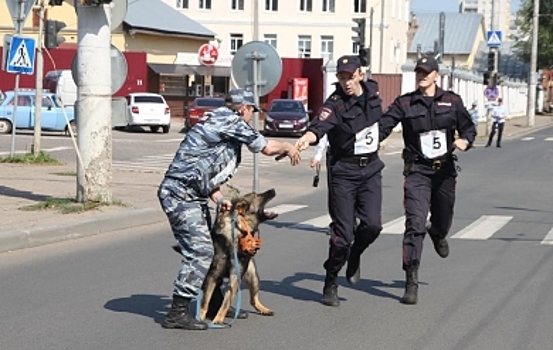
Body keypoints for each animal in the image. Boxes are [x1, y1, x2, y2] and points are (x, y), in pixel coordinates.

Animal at [172, 189, 276, 326]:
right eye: (256, 195)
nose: (273, 190)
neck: (237, 231)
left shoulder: (235, 277)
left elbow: (225, 302)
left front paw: (218, 319)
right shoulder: (212, 275)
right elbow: (205, 303)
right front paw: (200, 317)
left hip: (253, 277)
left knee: (253, 299)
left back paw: (263, 309)